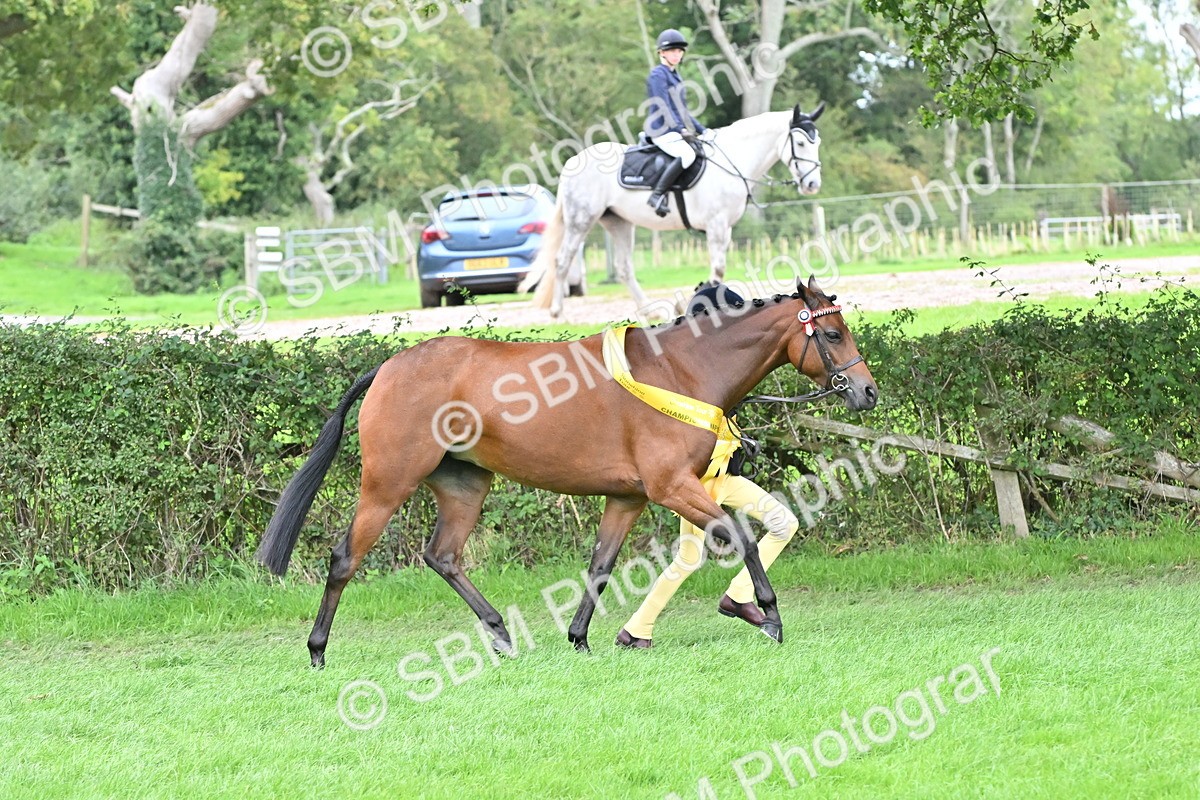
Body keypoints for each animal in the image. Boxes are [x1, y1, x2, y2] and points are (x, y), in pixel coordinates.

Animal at [256, 277, 876, 667]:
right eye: (834, 333)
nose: (867, 391)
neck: (681, 370)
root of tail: (388, 366)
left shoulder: (628, 499)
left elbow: (600, 567)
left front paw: (580, 638)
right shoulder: (672, 488)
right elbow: (742, 537)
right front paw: (766, 615)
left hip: (464, 486)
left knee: (444, 556)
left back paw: (500, 634)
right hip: (387, 484)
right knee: (345, 558)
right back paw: (317, 649)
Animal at [518, 103, 825, 318]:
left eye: (817, 143)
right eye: (800, 143)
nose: (812, 185)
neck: (733, 161)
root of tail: (572, 162)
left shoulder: (724, 227)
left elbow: (718, 267)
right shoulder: (716, 224)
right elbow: (718, 268)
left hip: (618, 223)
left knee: (624, 268)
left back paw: (649, 311)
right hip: (581, 220)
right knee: (562, 261)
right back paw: (558, 312)